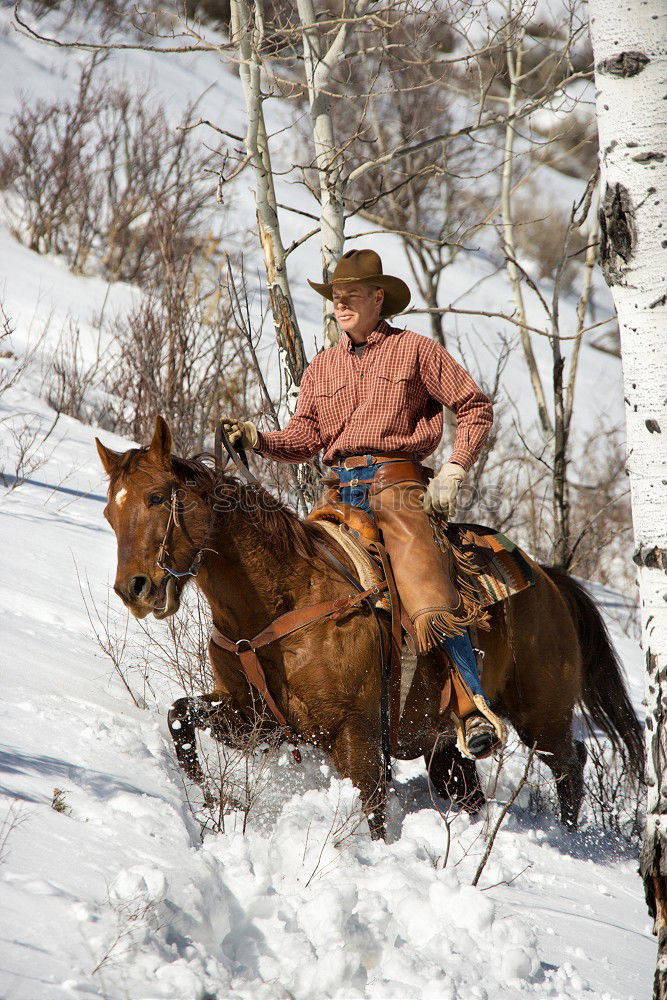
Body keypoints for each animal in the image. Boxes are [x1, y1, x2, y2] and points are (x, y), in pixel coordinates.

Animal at [96, 416, 644, 836]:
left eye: (157, 498)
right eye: (108, 511)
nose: (133, 589)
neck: (283, 600)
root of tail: (547, 578)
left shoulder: (357, 737)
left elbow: (373, 813)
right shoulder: (257, 720)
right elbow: (179, 718)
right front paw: (211, 802)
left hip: (541, 715)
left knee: (572, 761)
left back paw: (569, 837)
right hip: (446, 747)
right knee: (471, 787)